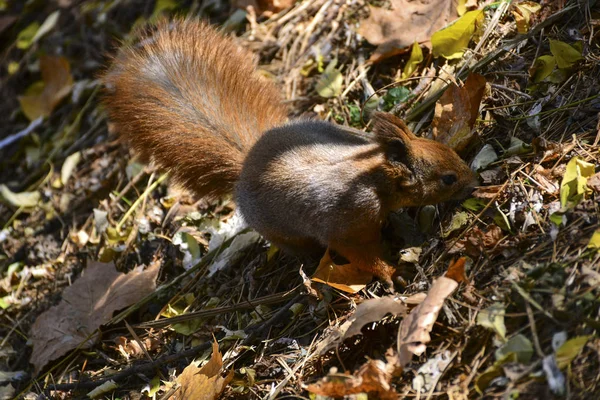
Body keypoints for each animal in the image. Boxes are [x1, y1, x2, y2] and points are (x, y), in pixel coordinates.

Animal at [103, 19, 478, 288]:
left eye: (447, 150)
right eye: (447, 179)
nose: (474, 181)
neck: (373, 177)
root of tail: (246, 165)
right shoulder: (345, 225)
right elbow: (358, 253)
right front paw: (389, 271)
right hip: (283, 233)